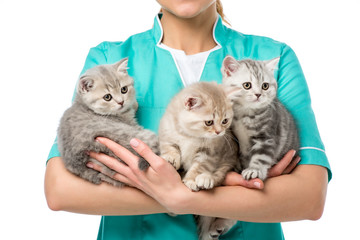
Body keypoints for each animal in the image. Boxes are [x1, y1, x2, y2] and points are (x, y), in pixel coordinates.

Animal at [58, 58, 158, 188]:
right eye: (107, 97)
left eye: (124, 89)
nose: (121, 102)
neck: (84, 107)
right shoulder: (131, 124)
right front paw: (133, 104)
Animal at [158, 81, 238, 240]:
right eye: (209, 122)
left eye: (225, 121)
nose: (219, 132)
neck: (189, 135)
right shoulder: (167, 132)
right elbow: (169, 146)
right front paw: (171, 157)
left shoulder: (209, 153)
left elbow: (198, 167)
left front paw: (191, 180)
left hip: (229, 158)